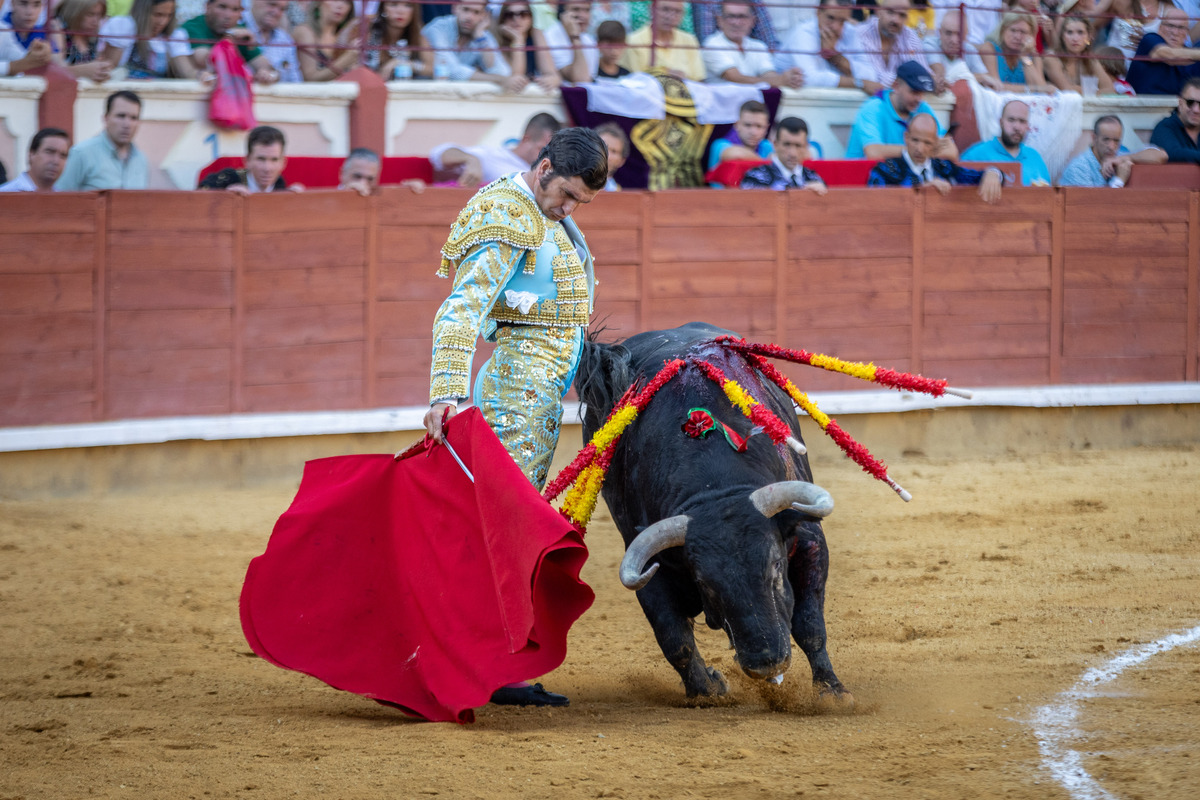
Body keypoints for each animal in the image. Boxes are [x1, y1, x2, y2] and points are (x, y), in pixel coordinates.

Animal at [573, 323, 849, 700]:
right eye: (706, 582)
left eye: (776, 565)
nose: (766, 663)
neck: (715, 488)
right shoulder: (648, 565)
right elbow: (674, 638)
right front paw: (707, 690)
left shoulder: (808, 541)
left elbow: (809, 625)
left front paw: (832, 692)